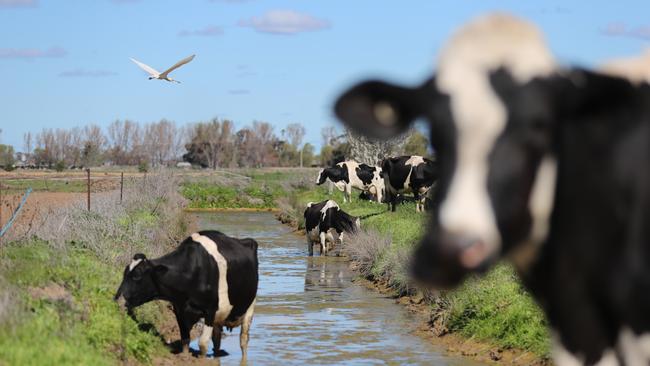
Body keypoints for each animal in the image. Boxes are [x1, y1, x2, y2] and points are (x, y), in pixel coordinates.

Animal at [114, 230, 258, 358]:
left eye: (136, 276)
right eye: (124, 272)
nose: (117, 299)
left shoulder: (210, 310)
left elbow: (202, 344)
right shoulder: (179, 309)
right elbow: (185, 340)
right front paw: (184, 357)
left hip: (250, 306)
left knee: (243, 339)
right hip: (221, 314)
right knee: (217, 340)